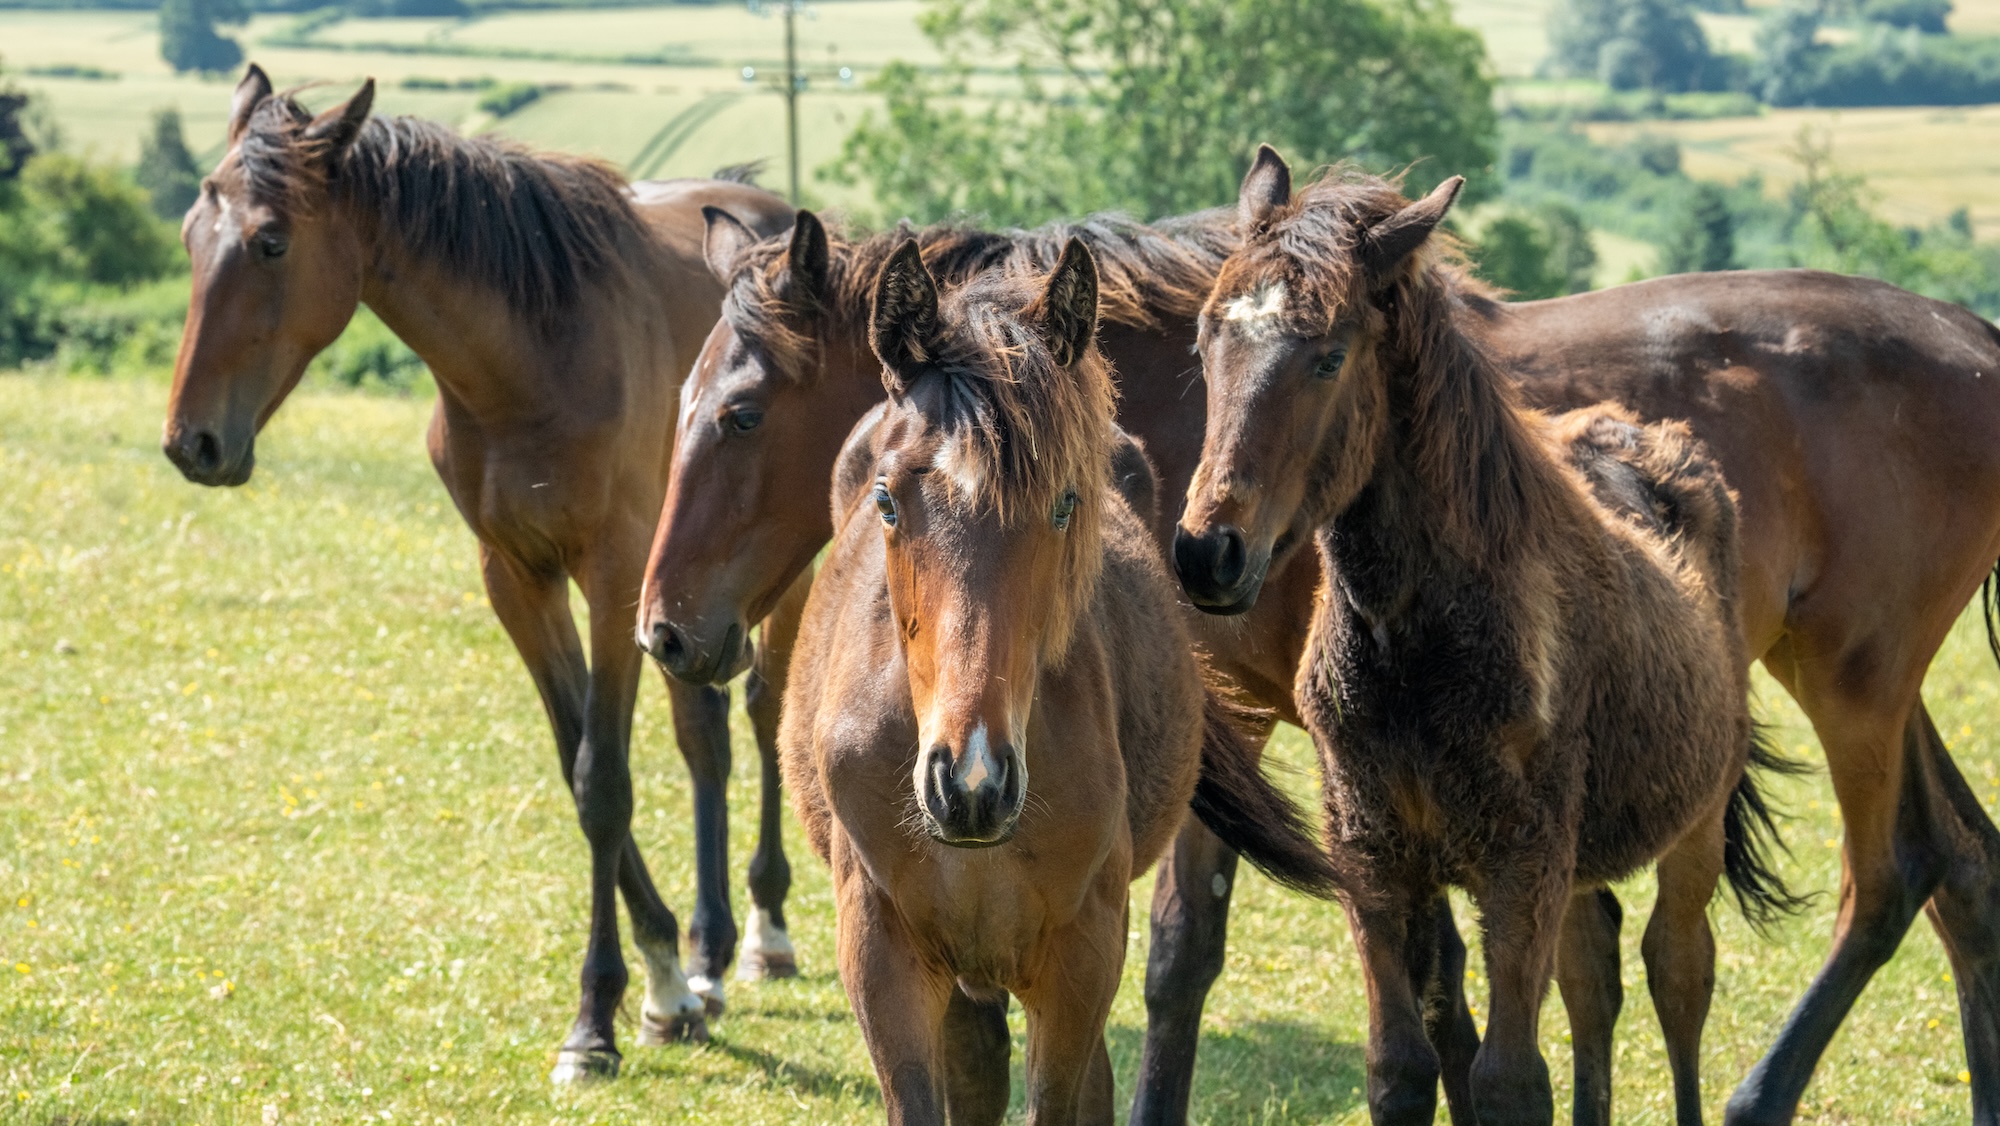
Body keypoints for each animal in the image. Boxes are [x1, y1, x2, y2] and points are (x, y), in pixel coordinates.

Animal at [159, 65, 800, 1082]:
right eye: (190, 233)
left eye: (271, 241)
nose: (194, 443)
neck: (532, 359)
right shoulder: (518, 578)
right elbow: (579, 767)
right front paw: (664, 981)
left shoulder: (613, 579)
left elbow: (604, 781)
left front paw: (597, 1021)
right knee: (706, 738)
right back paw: (707, 959)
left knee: (766, 714)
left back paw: (769, 930)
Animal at [1172, 148, 2000, 1124]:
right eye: (1204, 342)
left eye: (1329, 356)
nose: (1209, 553)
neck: (1414, 638)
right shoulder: (1371, 854)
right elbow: (1401, 1068)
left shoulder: (1519, 858)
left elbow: (1509, 1079)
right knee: (1596, 977)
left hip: (1742, 776)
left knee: (1684, 967)